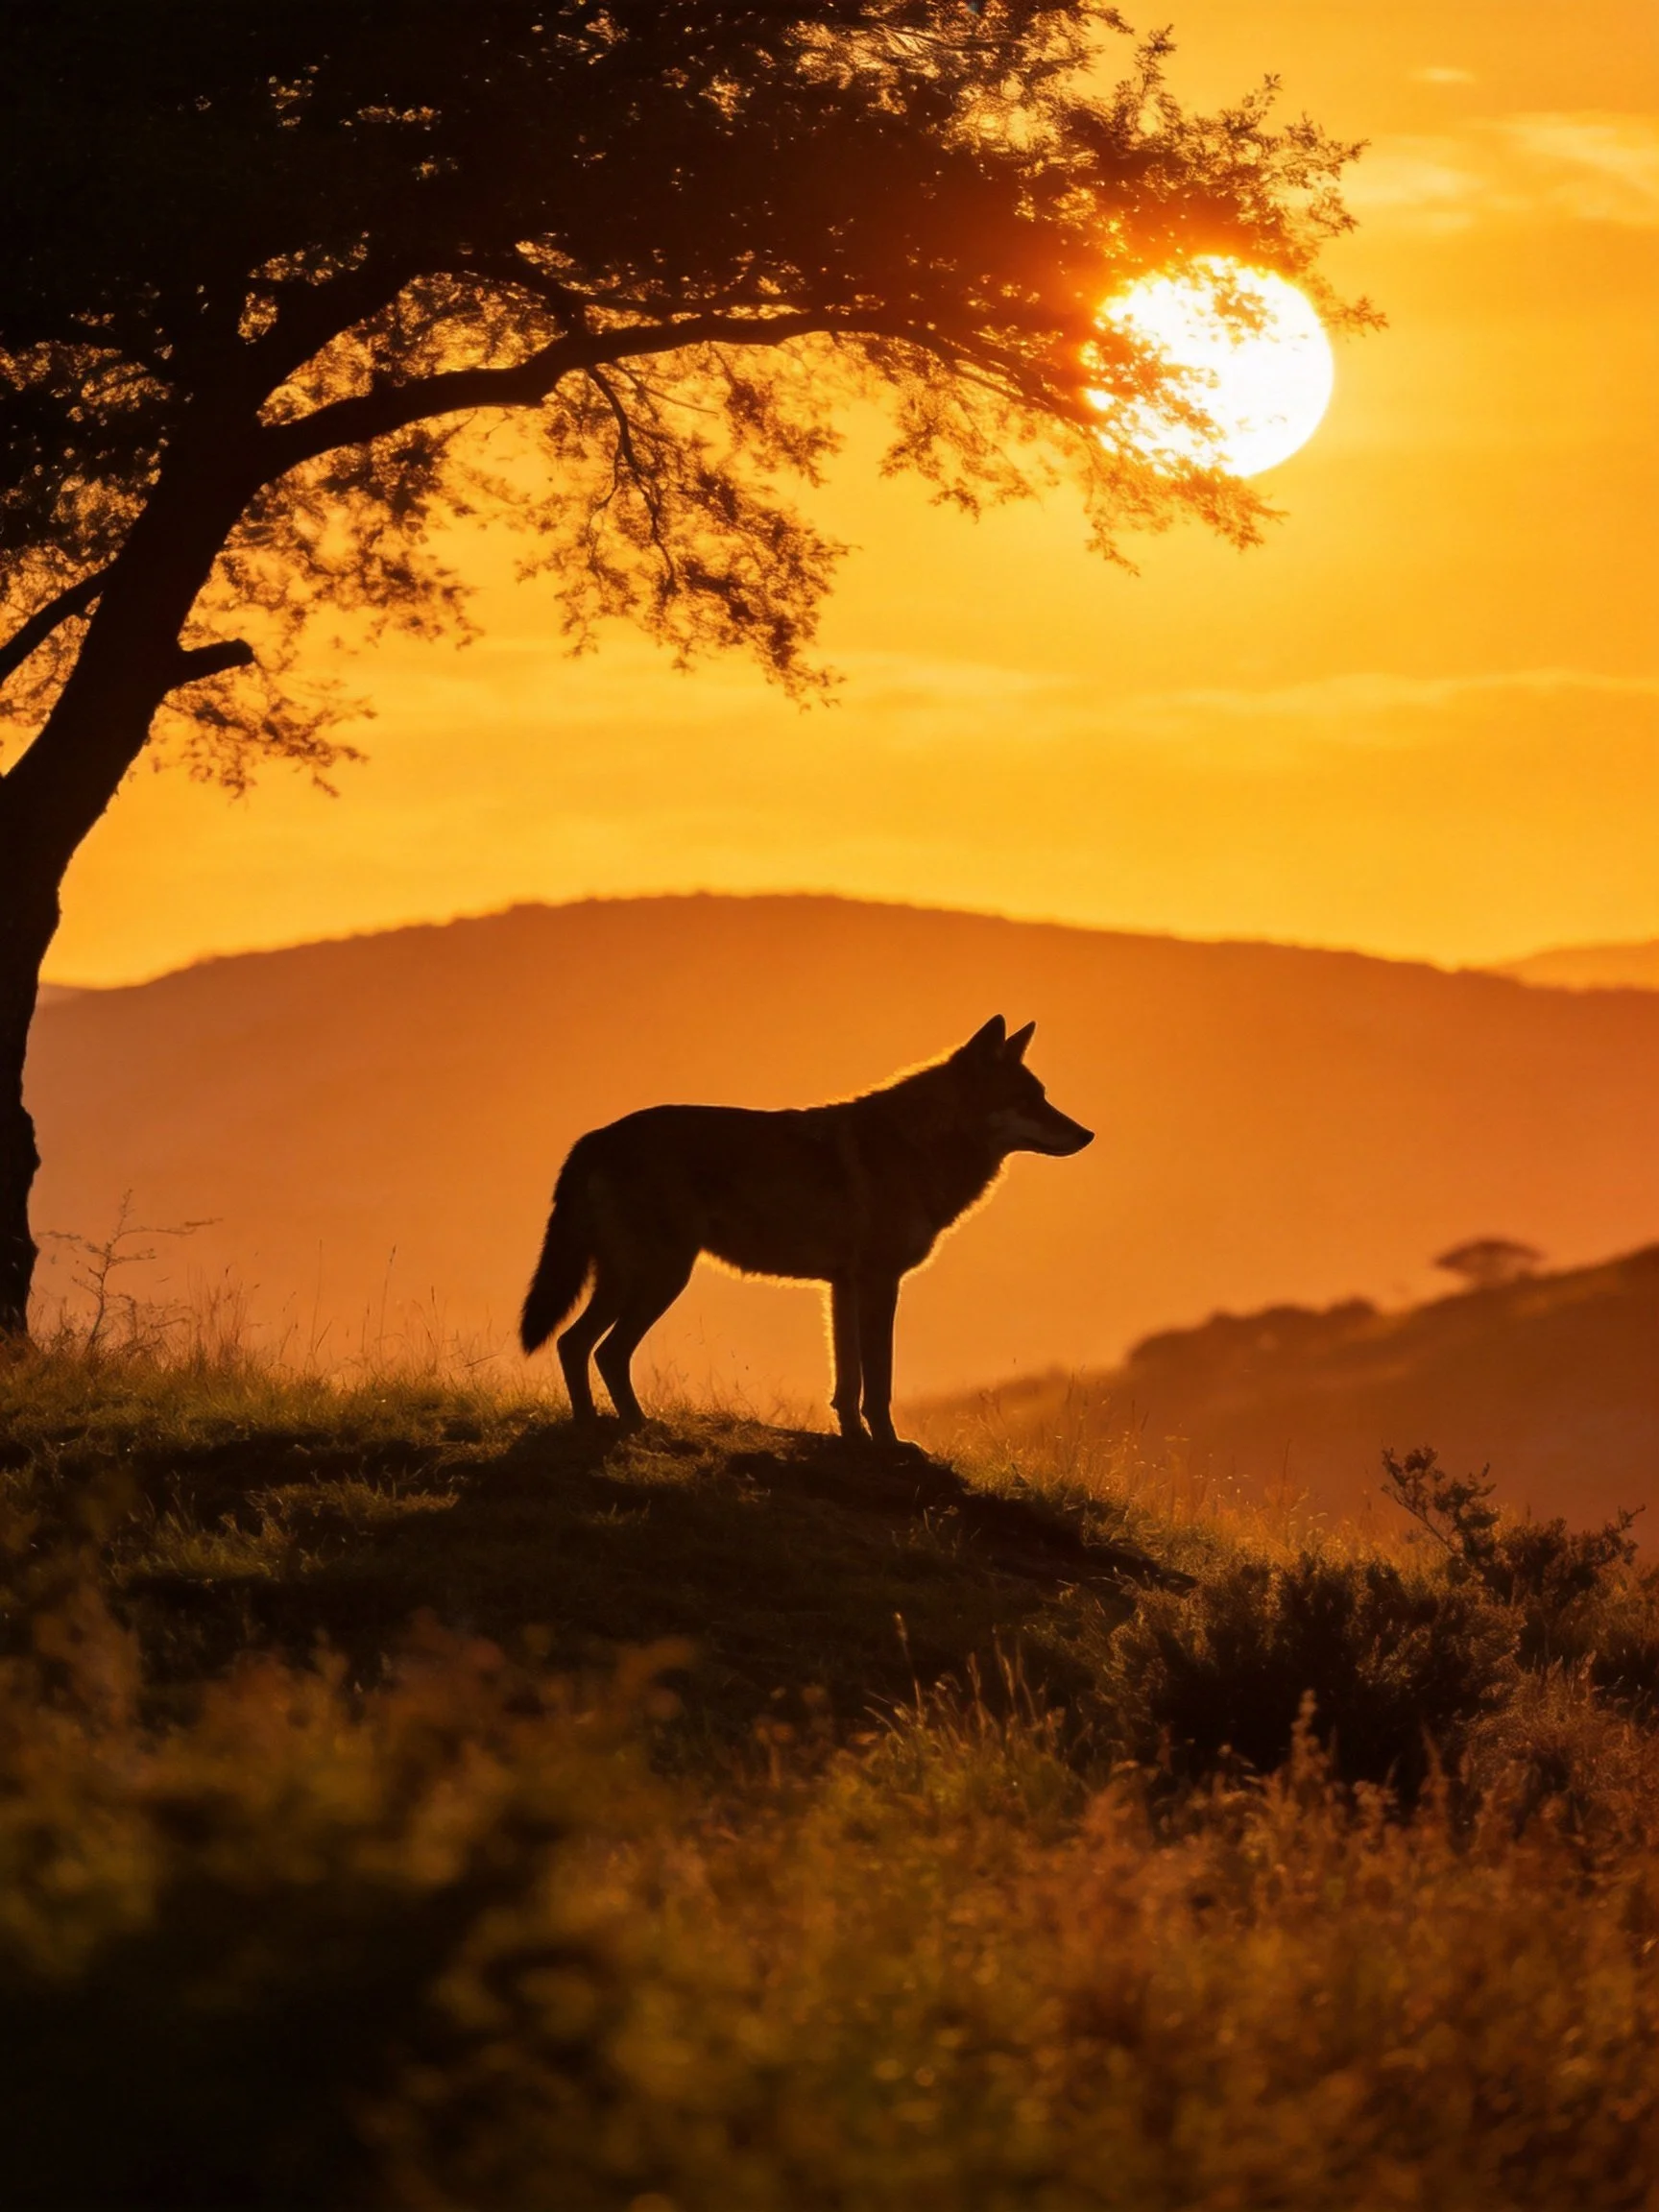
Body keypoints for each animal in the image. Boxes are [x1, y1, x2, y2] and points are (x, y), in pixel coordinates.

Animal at [519, 1016, 1093, 1445]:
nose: (1087, 1134)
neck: (919, 1145)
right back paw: (633, 1427)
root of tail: (594, 1137)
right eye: (1027, 1100)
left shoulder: (842, 1287)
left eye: (1043, 1096)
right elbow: (878, 1380)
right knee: (605, 1351)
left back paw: (591, 1425)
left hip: (626, 1281)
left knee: (574, 1344)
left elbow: (848, 1381)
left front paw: (855, 1441)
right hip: (662, 1279)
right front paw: (890, 1446)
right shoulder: (879, 1283)